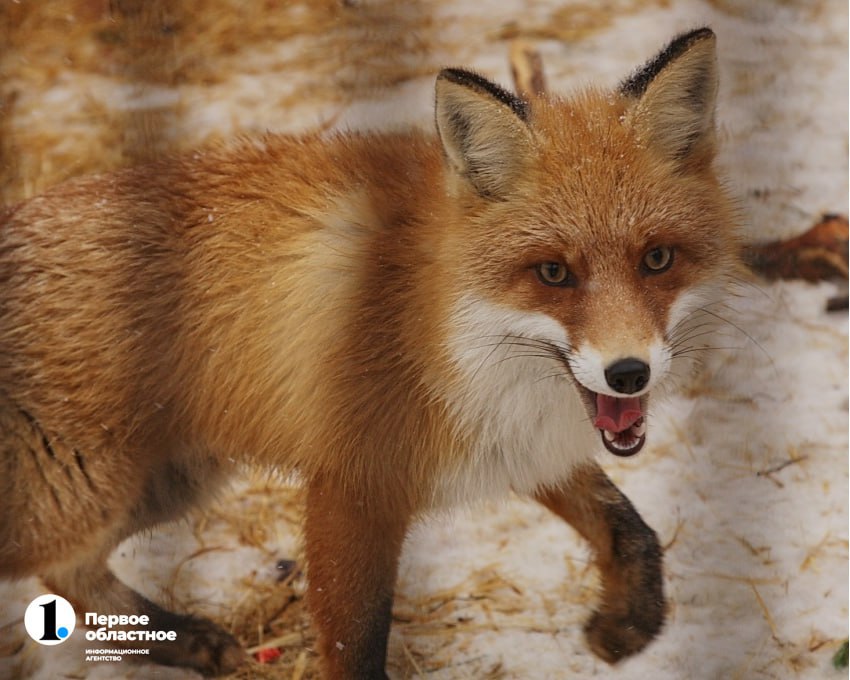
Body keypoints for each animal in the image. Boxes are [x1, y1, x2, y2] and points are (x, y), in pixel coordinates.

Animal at [0, 27, 736, 680]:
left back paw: (185, 640)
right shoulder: (350, 489)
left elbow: (627, 527)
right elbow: (354, 646)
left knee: (71, 577)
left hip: (166, 486)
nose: (629, 372)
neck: (443, 326)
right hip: (85, 500)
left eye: (658, 259)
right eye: (553, 273)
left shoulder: (513, 436)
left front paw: (627, 626)